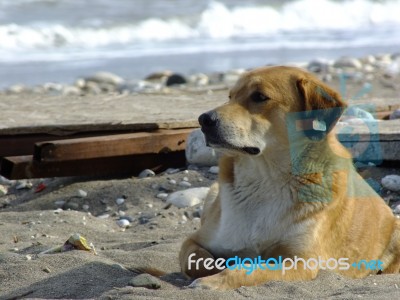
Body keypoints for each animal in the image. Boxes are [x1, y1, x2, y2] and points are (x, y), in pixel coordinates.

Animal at [179, 66, 400, 290]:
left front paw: (213, 281)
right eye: (230, 97)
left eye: (260, 96)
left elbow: (247, 270)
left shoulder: (300, 261)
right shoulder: (194, 241)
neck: (266, 179)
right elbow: (197, 261)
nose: (204, 120)